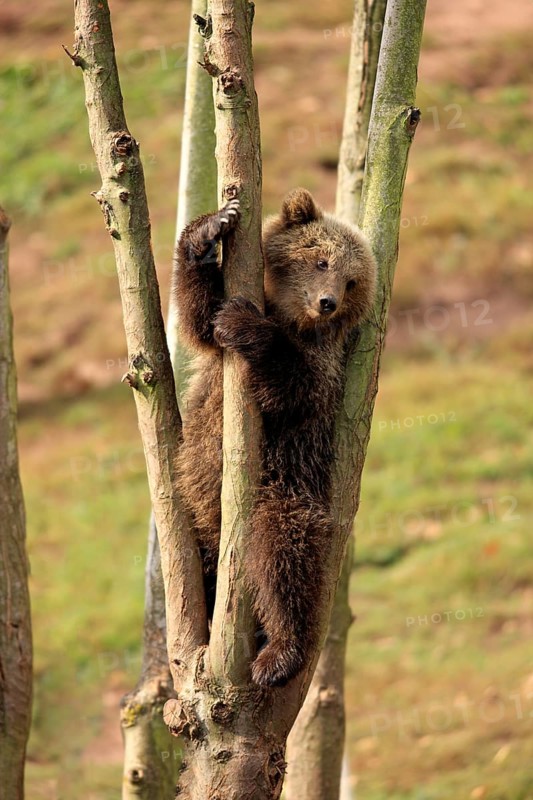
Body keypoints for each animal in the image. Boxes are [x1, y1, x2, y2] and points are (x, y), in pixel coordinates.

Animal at [174, 188, 377, 687]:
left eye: (351, 283)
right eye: (321, 260)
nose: (326, 302)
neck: (289, 315)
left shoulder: (325, 366)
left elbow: (294, 389)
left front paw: (245, 326)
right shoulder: (216, 351)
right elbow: (199, 319)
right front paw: (211, 230)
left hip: (285, 481)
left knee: (283, 549)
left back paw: (279, 652)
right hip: (204, 520)